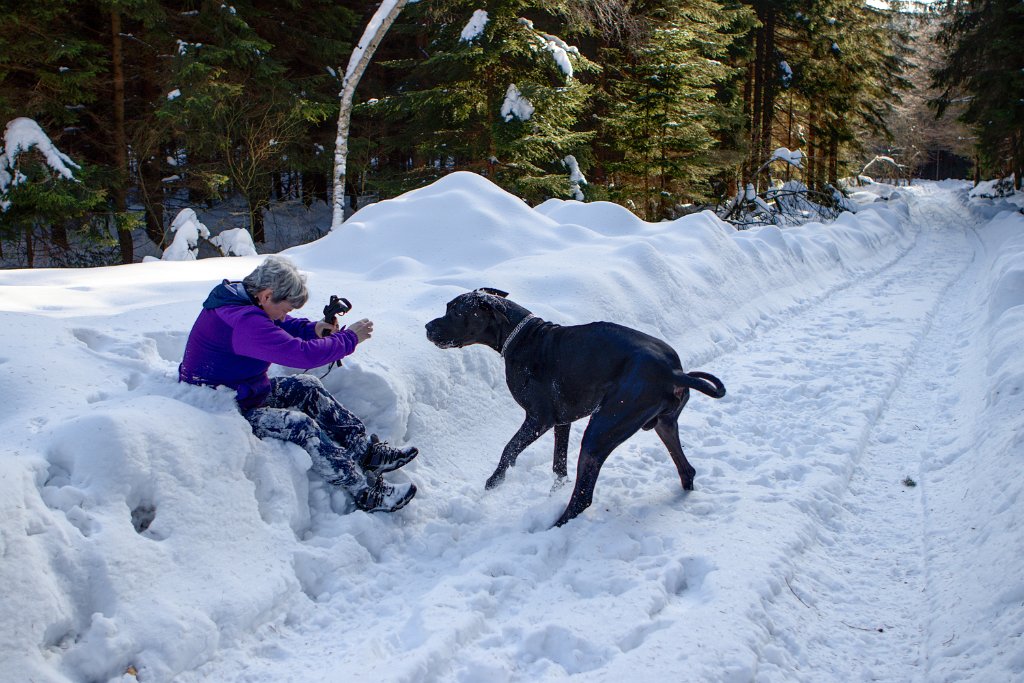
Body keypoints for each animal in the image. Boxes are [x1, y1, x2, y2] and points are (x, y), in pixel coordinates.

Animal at [423, 288, 729, 528]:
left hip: (602, 431)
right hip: (663, 424)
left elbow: (509, 450)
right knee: (687, 469)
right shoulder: (562, 421)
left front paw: (494, 484)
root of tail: (673, 372)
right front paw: (552, 490)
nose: (427, 326)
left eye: (455, 312)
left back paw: (553, 525)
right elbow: (559, 466)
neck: (521, 338)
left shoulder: (539, 419)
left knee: (583, 497)